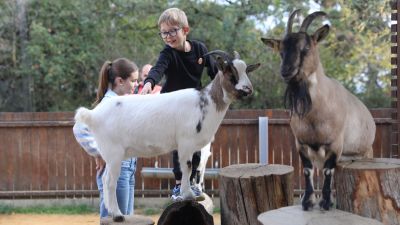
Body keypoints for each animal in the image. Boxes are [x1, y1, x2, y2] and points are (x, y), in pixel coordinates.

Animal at [74, 50, 260, 221]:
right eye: (231, 73)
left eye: (246, 71)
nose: (248, 89)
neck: (205, 103)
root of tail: (93, 115)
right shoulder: (185, 143)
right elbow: (187, 167)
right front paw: (187, 195)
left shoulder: (193, 147)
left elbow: (194, 168)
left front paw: (193, 193)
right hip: (113, 153)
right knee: (109, 181)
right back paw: (117, 215)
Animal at [260, 9, 376, 211]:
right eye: (281, 51)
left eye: (305, 48)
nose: (286, 71)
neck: (314, 116)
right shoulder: (301, 144)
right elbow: (307, 170)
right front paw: (308, 202)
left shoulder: (335, 145)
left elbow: (329, 171)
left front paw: (326, 202)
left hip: (366, 153)